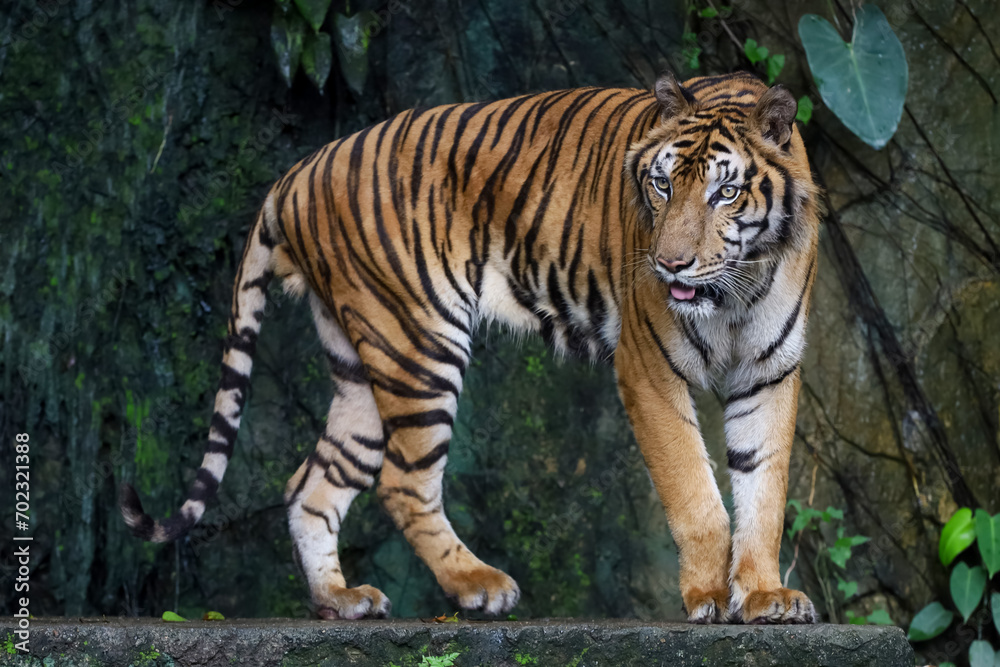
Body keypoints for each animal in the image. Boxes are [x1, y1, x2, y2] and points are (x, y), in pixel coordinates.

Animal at [119, 70, 820, 624]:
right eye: (662, 185)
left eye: (725, 192)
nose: (671, 265)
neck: (736, 290)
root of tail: (300, 169)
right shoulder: (648, 367)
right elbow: (696, 493)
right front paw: (707, 596)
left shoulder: (770, 373)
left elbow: (764, 491)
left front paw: (764, 595)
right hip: (418, 341)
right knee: (402, 481)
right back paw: (477, 585)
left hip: (361, 364)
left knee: (312, 483)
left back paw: (340, 600)